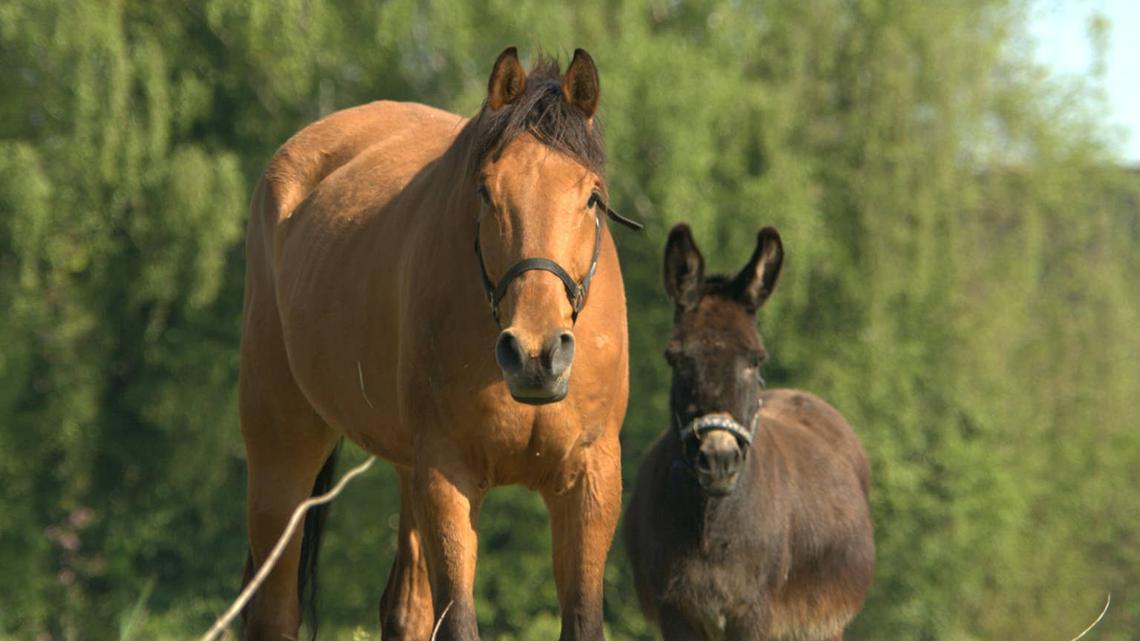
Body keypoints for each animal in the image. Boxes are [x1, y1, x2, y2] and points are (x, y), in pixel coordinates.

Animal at [238, 47, 638, 641]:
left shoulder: (591, 482)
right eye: (486, 192)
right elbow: (458, 618)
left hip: (408, 470)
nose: (536, 355)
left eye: (592, 197)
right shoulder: (448, 476)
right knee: (274, 610)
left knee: (404, 609)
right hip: (283, 450)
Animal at [623, 225, 874, 641]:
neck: (711, 526)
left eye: (755, 359)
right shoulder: (676, 611)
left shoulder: (754, 614)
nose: (718, 459)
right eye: (676, 358)